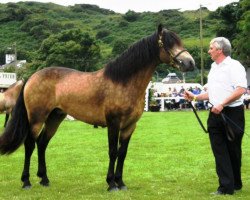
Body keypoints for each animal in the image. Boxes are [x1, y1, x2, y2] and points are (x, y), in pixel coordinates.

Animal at [0, 25, 195, 191]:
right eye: (168, 43)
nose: (190, 63)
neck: (123, 82)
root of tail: (31, 77)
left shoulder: (129, 126)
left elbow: (122, 153)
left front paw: (121, 182)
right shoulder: (114, 123)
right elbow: (113, 151)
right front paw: (111, 184)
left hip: (55, 117)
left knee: (42, 143)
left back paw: (44, 179)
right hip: (37, 118)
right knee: (30, 144)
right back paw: (26, 181)